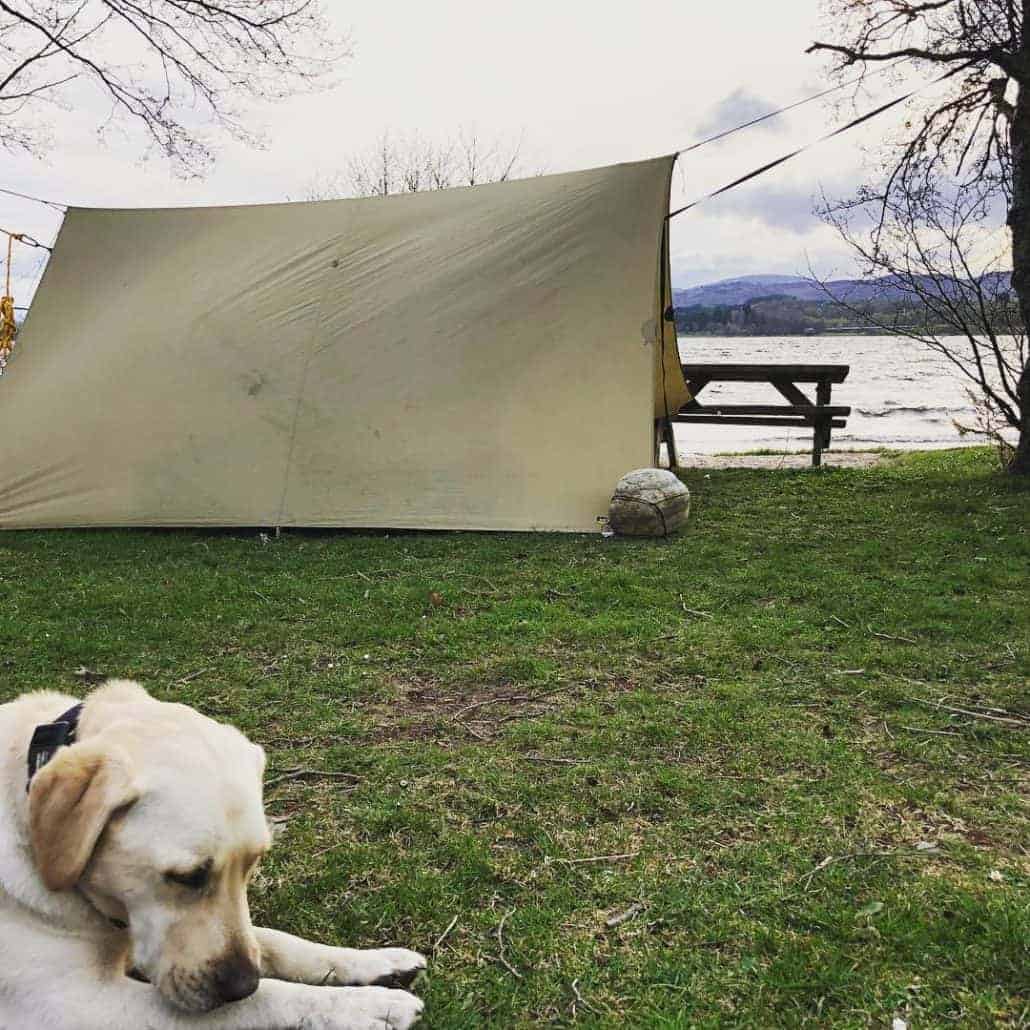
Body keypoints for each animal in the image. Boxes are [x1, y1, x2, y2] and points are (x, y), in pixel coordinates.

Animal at [0, 679, 426, 1025]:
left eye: (253, 864)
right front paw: (367, 1006)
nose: (243, 984)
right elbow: (264, 1001)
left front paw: (376, 961)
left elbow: (277, 940)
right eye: (187, 877)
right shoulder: (79, 1003)